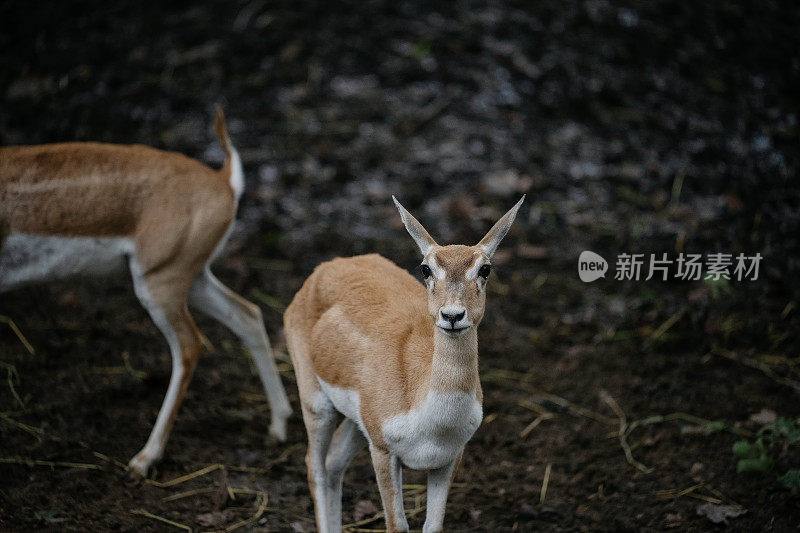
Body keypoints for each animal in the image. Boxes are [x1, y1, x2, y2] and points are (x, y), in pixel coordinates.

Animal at [0, 108, 294, 474]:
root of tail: (223, 179)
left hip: (158, 282)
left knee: (190, 345)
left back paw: (144, 459)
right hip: (191, 277)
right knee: (248, 314)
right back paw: (277, 427)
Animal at [282, 195, 524, 532]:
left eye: (485, 269)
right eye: (426, 268)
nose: (452, 315)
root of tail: (326, 267)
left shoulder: (449, 458)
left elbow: (433, 526)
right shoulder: (383, 450)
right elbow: (397, 525)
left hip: (357, 424)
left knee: (333, 463)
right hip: (317, 403)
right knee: (314, 467)